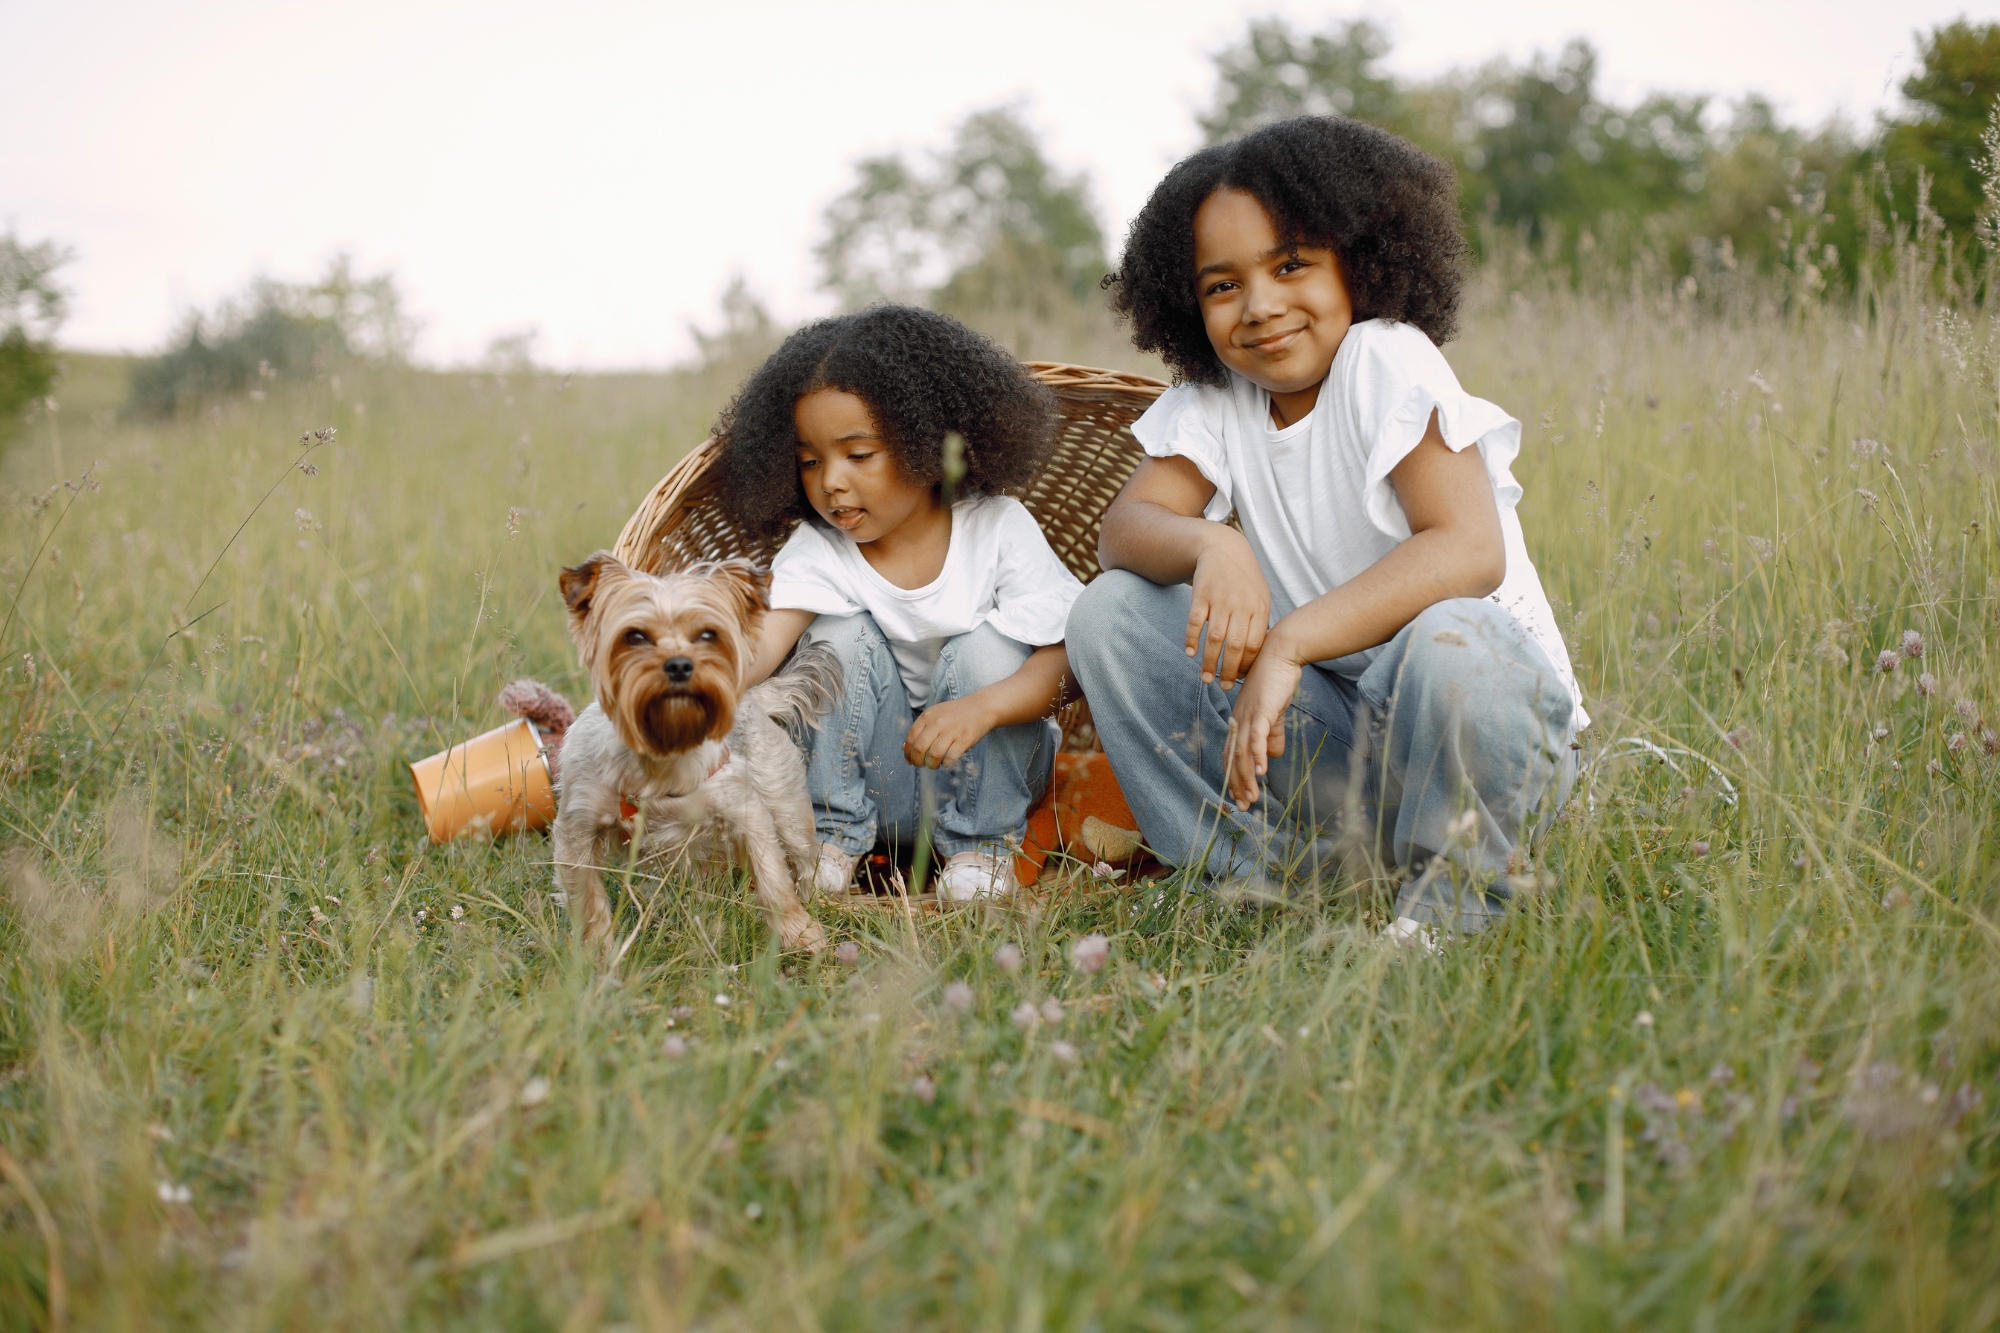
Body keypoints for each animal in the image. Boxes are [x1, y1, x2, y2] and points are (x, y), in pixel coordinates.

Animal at [556, 548, 844, 956]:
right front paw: (597, 954)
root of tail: (756, 696)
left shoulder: (749, 813)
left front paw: (802, 934)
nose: (679, 664)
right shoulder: (576, 830)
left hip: (787, 810)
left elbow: (774, 880)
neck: (663, 750)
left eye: (708, 635)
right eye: (635, 636)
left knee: (805, 861)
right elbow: (588, 898)